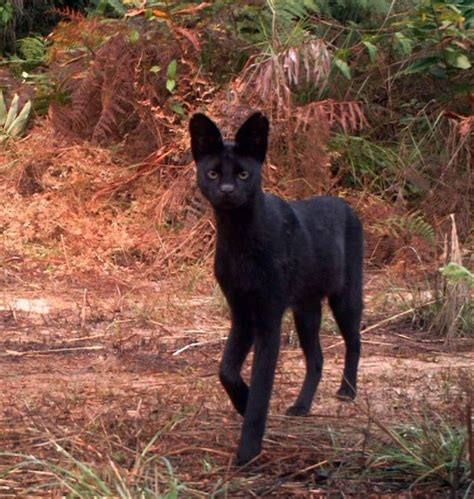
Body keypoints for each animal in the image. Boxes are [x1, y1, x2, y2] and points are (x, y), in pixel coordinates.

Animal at [188, 111, 362, 466]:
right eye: (213, 172)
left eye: (243, 173)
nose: (227, 190)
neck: (240, 239)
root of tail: (346, 205)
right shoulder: (241, 312)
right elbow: (226, 370)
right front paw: (241, 401)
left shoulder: (268, 317)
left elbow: (262, 384)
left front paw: (248, 449)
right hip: (305, 310)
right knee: (317, 358)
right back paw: (302, 405)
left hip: (345, 298)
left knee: (354, 341)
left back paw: (347, 391)